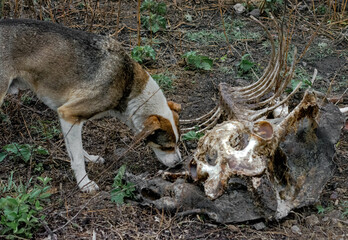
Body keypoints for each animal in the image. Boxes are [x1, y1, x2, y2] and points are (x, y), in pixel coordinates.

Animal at [0, 18, 184, 191]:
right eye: (167, 147)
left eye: (178, 143)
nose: (179, 163)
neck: (127, 82)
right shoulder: (69, 114)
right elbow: (77, 159)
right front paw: (84, 184)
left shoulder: (67, 118)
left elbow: (76, 150)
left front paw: (90, 159)